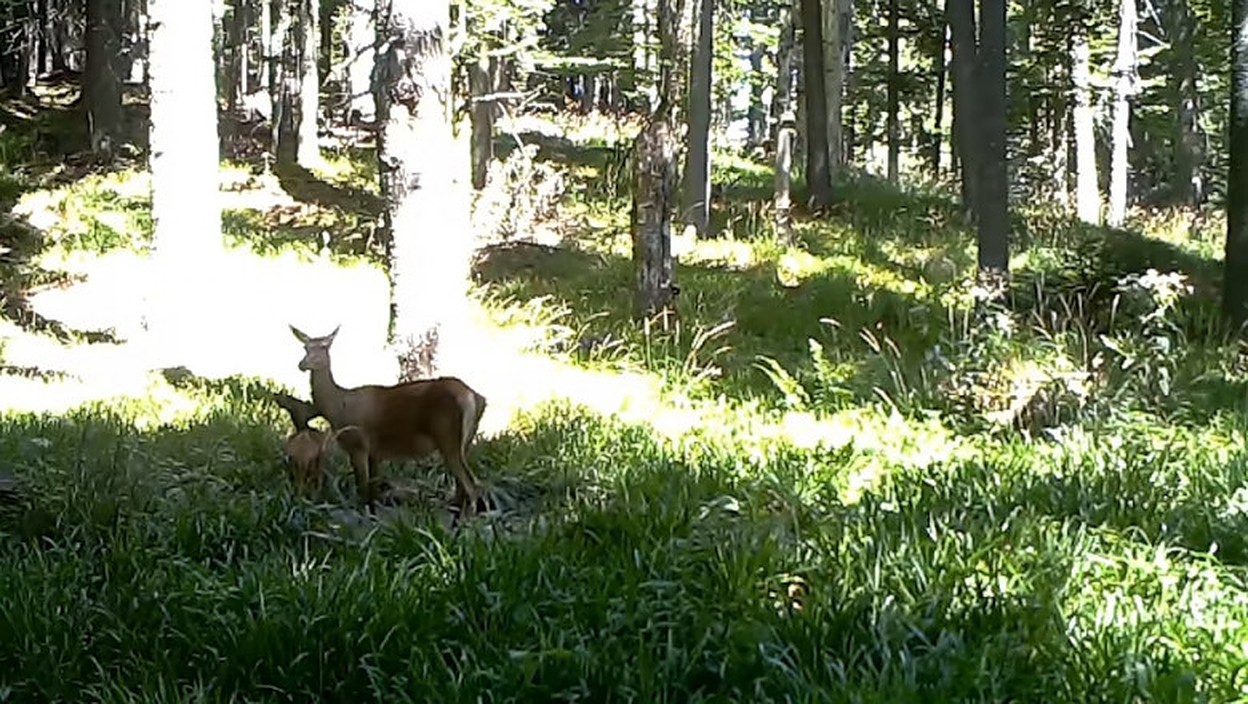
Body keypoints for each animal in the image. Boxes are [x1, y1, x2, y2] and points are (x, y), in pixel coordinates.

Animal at [290, 324, 486, 516]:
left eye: (324, 347)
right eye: (305, 347)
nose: (302, 364)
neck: (339, 407)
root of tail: (473, 397)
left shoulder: (358, 444)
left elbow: (363, 489)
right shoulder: (374, 452)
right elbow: (373, 491)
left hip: (448, 437)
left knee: (472, 485)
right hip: (466, 441)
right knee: (463, 488)